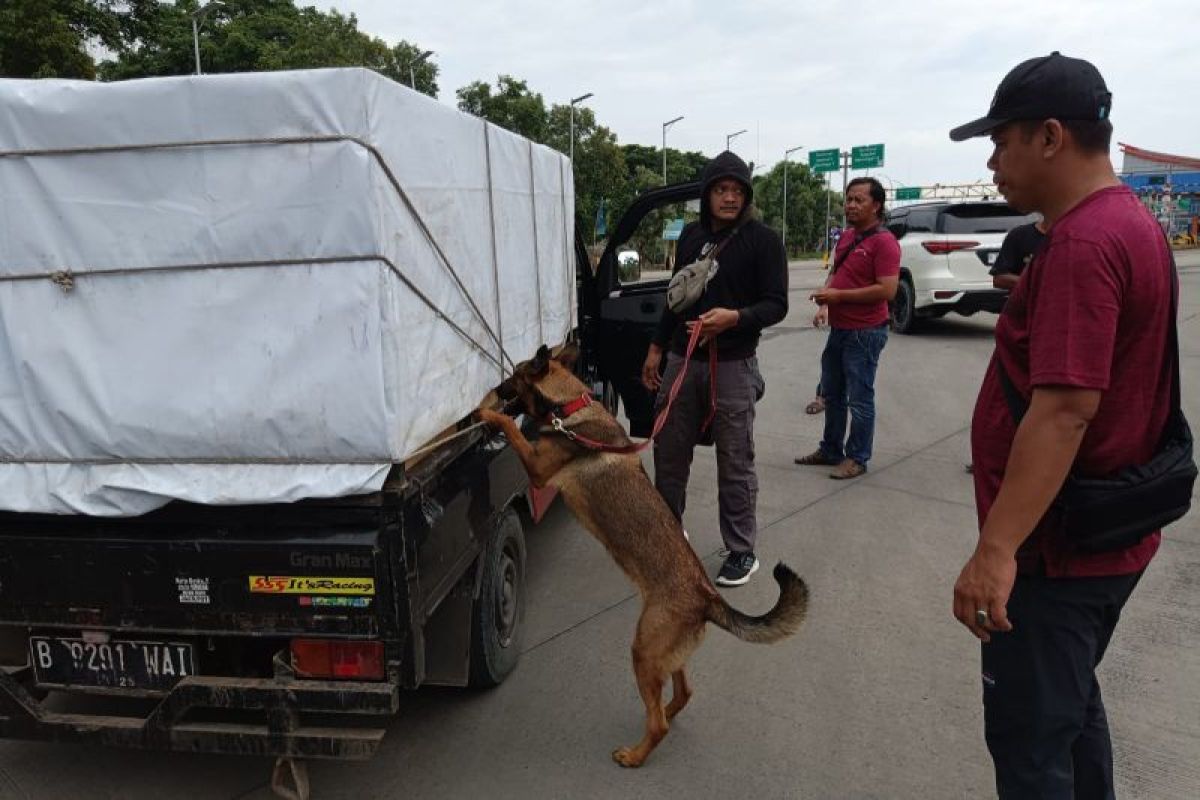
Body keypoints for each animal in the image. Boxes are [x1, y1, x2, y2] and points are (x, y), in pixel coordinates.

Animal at [475, 345, 806, 767]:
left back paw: (634, 755)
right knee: (681, 694)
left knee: (659, 723)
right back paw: (665, 713)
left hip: (644, 652)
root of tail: (707, 597)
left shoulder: (536, 467)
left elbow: (512, 428)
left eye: (513, 378)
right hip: (665, 655)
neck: (570, 405)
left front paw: (488, 415)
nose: (493, 390)